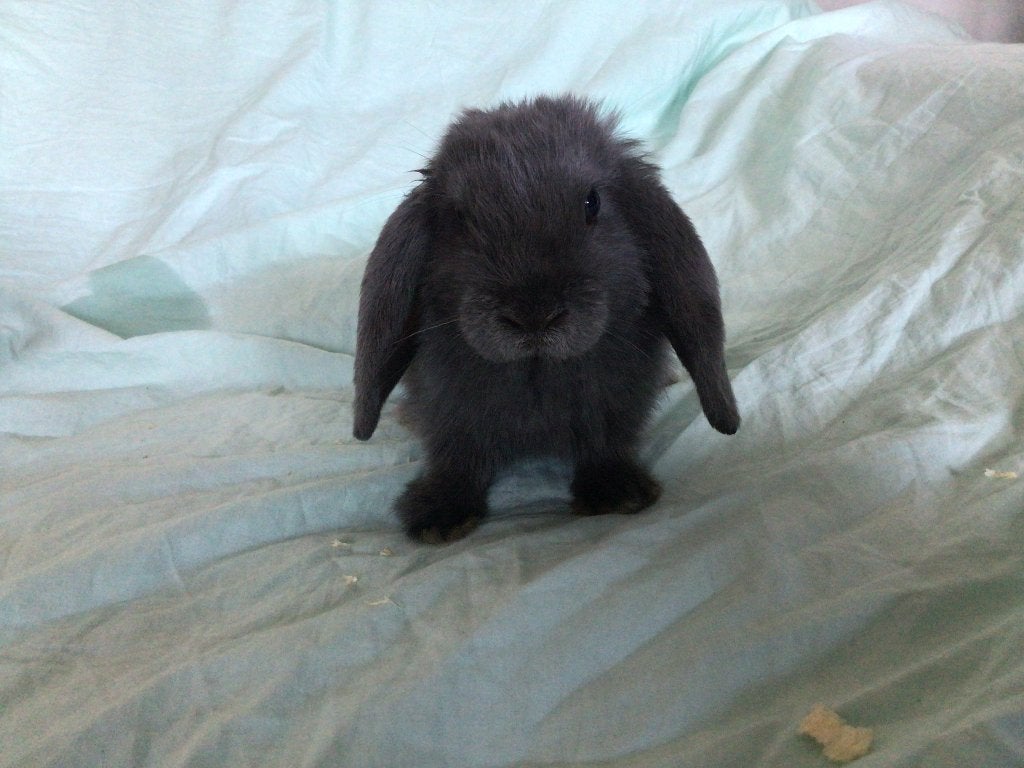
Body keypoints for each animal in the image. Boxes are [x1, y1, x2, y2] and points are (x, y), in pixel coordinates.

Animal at [353, 94, 739, 543]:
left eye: (592, 203)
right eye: (459, 218)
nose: (533, 315)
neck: (536, 369)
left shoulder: (613, 406)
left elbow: (604, 443)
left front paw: (616, 494)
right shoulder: (449, 411)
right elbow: (458, 457)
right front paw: (439, 515)